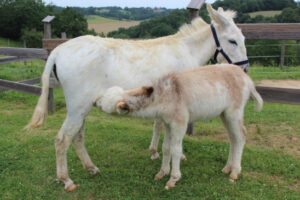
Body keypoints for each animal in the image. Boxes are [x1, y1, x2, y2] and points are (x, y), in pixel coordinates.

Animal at [98, 64, 262, 189]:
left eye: (107, 106)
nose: (96, 102)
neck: (164, 95)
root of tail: (247, 79)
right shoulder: (168, 123)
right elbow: (165, 148)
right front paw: (162, 173)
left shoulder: (180, 123)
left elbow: (176, 150)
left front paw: (173, 179)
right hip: (224, 114)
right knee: (232, 138)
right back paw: (227, 168)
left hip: (234, 112)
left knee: (240, 136)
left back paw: (235, 172)